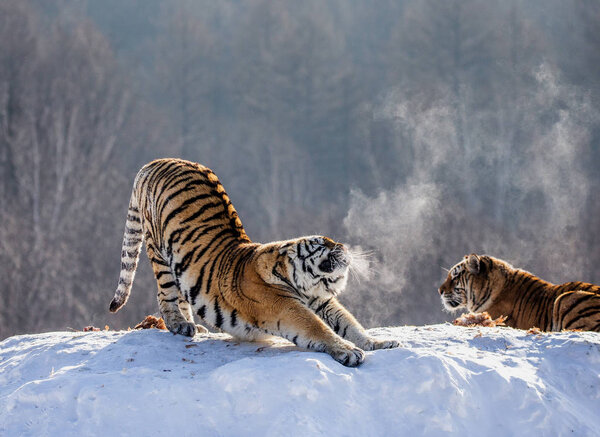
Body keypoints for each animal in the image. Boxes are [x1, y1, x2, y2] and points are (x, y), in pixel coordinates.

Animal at [110, 158, 398, 366]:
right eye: (320, 244)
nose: (342, 246)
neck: (308, 286)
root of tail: (156, 161)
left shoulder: (323, 302)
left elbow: (350, 324)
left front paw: (379, 343)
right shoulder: (285, 307)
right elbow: (319, 329)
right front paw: (348, 351)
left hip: (180, 267)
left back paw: (195, 327)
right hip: (159, 251)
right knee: (166, 295)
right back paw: (179, 324)